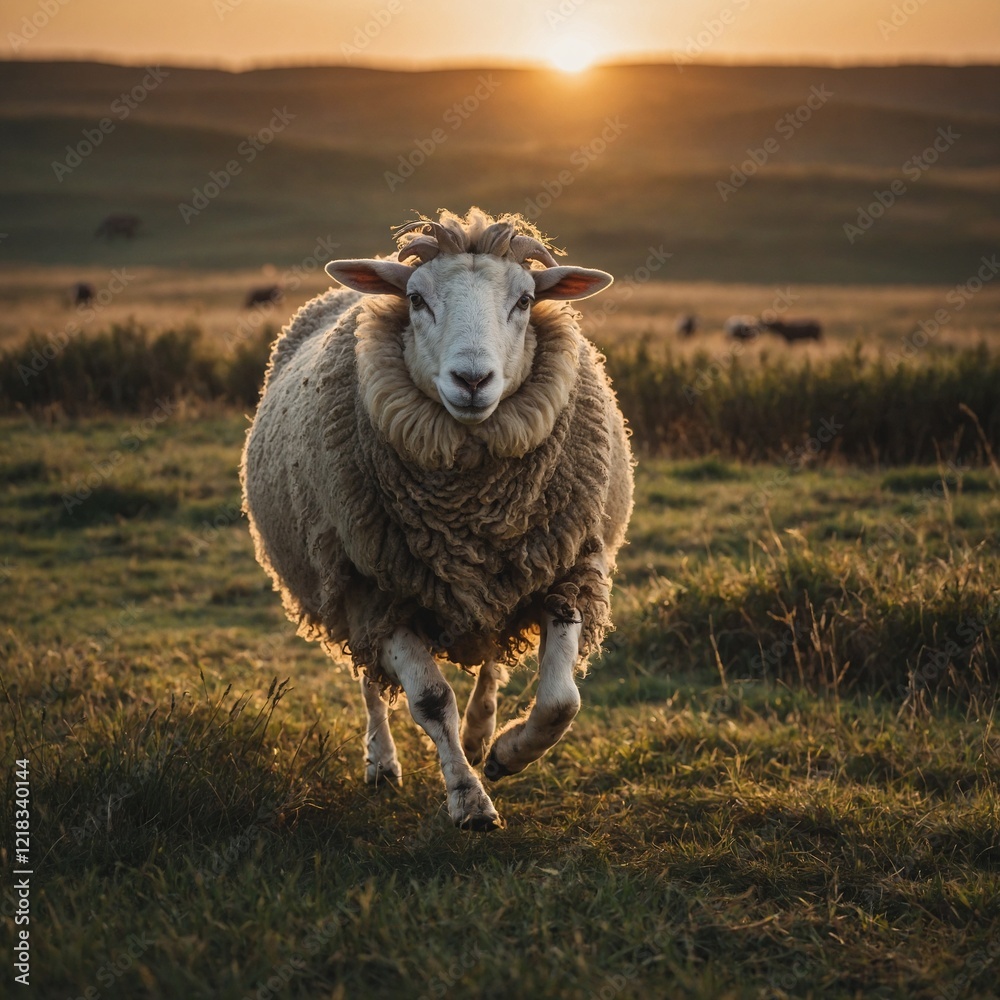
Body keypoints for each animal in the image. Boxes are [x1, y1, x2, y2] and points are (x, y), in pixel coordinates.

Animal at [240, 208, 634, 831]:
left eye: (526, 300)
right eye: (416, 299)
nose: (472, 381)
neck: (470, 514)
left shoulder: (567, 568)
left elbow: (560, 701)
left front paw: (503, 755)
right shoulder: (377, 592)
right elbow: (429, 700)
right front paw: (470, 800)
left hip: (499, 580)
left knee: (492, 656)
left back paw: (481, 733)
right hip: (346, 588)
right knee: (370, 681)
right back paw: (383, 763)